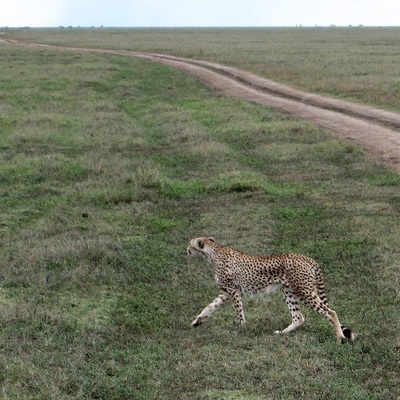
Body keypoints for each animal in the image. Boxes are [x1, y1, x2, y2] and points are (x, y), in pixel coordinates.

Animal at [186, 236, 354, 342]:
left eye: (191, 245)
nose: (186, 250)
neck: (214, 251)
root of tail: (307, 258)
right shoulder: (226, 292)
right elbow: (210, 306)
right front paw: (197, 321)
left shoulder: (233, 291)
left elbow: (239, 311)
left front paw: (242, 328)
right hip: (289, 291)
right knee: (298, 317)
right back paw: (282, 333)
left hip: (304, 291)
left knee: (331, 312)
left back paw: (340, 337)